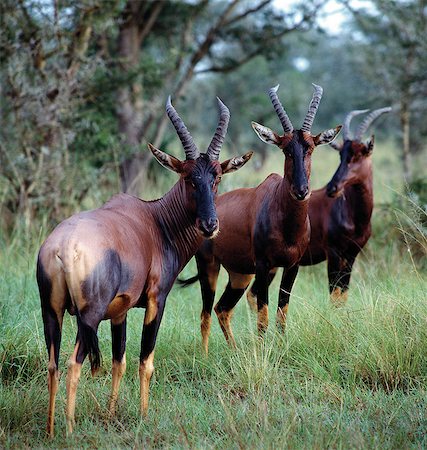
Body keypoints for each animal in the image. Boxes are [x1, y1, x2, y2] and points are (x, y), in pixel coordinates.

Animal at [36, 95, 252, 436]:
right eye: (188, 177)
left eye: (217, 176)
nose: (210, 225)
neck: (156, 221)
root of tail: (62, 247)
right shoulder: (155, 300)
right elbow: (145, 360)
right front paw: (143, 415)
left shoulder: (119, 311)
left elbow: (119, 361)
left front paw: (111, 415)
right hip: (88, 317)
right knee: (73, 363)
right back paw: (69, 430)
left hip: (51, 312)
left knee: (53, 363)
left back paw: (50, 429)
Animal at [179, 84, 342, 352]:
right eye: (286, 149)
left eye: (310, 147)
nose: (301, 190)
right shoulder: (265, 265)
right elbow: (263, 316)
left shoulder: (292, 266)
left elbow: (282, 312)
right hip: (209, 266)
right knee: (206, 312)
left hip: (240, 274)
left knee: (222, 308)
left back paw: (234, 350)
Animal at [247, 106, 392, 316]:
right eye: (341, 155)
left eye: (359, 154)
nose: (332, 188)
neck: (352, 215)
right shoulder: (333, 253)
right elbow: (334, 296)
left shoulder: (351, 255)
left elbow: (342, 296)